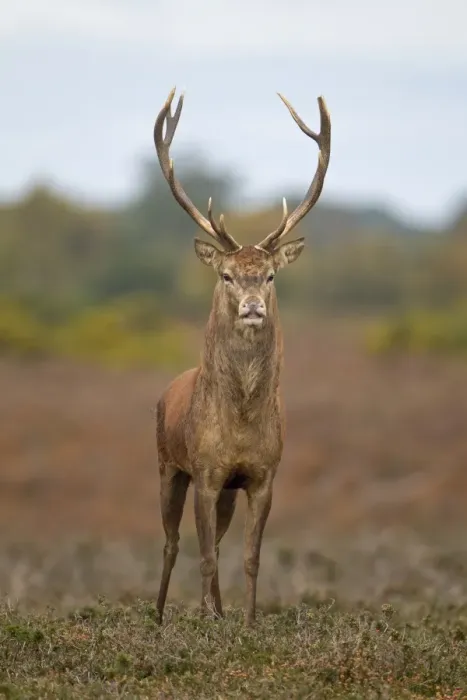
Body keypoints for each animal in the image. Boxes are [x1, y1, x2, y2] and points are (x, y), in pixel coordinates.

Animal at [154, 87, 331, 626]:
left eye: (270, 275)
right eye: (227, 275)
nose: (253, 306)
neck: (240, 423)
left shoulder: (260, 475)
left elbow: (249, 556)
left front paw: (247, 622)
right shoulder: (205, 473)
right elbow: (205, 554)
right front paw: (208, 620)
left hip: (223, 490)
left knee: (212, 543)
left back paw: (216, 611)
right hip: (167, 466)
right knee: (171, 544)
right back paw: (160, 616)